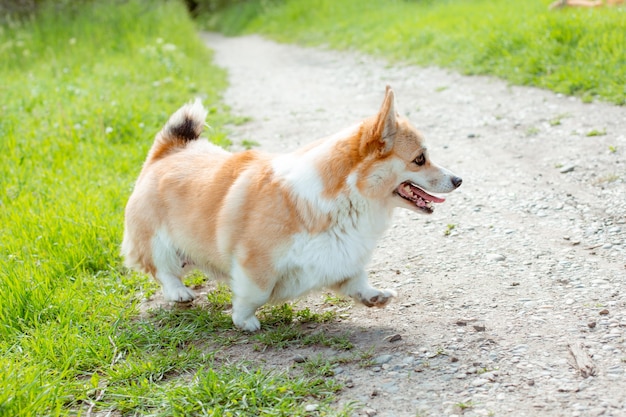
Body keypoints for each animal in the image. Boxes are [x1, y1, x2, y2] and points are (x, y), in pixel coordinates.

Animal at [122, 86, 460, 330]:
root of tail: (167, 152)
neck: (348, 198)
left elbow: (356, 281)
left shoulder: (339, 256)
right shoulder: (255, 262)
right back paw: (179, 293)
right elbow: (255, 293)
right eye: (419, 159)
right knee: (161, 269)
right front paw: (244, 320)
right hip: (158, 240)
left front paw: (374, 296)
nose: (459, 180)